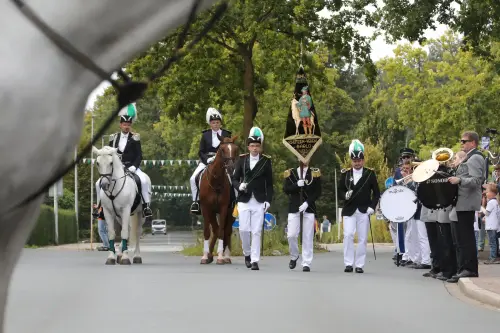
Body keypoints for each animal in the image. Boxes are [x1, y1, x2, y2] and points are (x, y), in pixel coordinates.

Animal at [0, 0, 220, 330]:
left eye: (112, 160)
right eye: (98, 161)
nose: (104, 182)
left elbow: (126, 234)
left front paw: (125, 257)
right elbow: (115, 236)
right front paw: (112, 256)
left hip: (140, 212)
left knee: (138, 233)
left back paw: (136, 255)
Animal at [198, 134, 239, 264]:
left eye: (235, 149)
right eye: (222, 149)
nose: (231, 168)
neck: (215, 181)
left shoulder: (223, 208)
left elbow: (222, 231)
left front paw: (220, 257)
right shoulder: (206, 208)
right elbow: (207, 232)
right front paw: (204, 256)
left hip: (230, 213)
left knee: (226, 231)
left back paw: (226, 257)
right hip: (211, 213)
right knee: (215, 230)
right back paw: (209, 255)